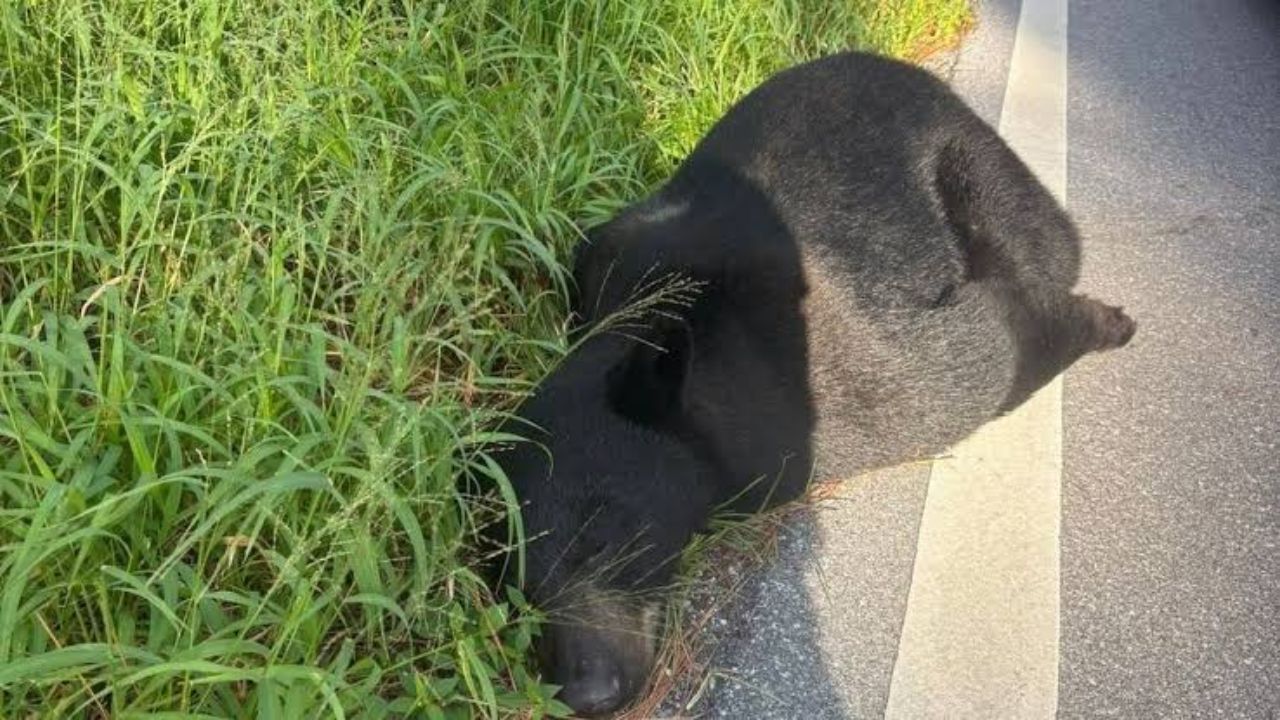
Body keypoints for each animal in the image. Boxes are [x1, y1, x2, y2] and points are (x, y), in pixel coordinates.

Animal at [490, 51, 1135, 717]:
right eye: (515, 583)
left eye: (605, 535)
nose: (587, 690)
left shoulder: (824, 366)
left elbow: (982, 354)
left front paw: (1101, 321)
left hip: (970, 162)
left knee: (1042, 238)